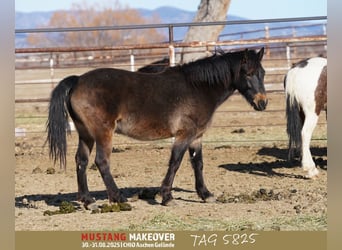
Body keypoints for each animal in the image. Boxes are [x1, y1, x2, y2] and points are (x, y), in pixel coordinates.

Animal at [46, 47, 268, 207]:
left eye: (263, 73)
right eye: (248, 73)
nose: (262, 103)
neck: (198, 88)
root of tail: (78, 80)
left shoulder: (197, 137)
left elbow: (198, 164)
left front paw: (205, 194)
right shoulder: (184, 135)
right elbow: (175, 162)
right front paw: (167, 197)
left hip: (86, 134)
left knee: (81, 161)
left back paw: (88, 201)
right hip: (103, 133)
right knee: (101, 162)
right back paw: (119, 198)